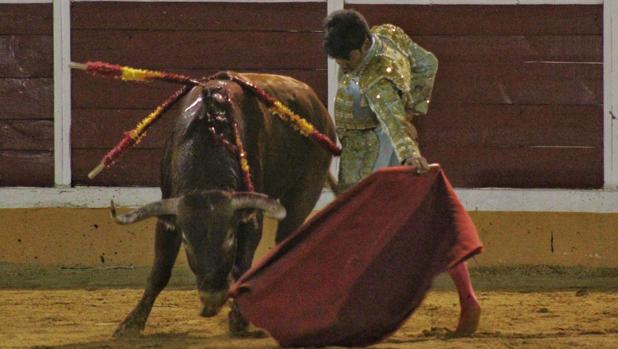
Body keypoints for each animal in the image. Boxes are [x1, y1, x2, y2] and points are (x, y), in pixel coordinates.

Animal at [108, 72, 334, 336]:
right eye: (187, 240)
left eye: (229, 237)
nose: (213, 298)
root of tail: (316, 103)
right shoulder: (168, 219)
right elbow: (160, 271)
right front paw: (131, 324)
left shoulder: (250, 217)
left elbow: (241, 266)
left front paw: (239, 320)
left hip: (306, 191)